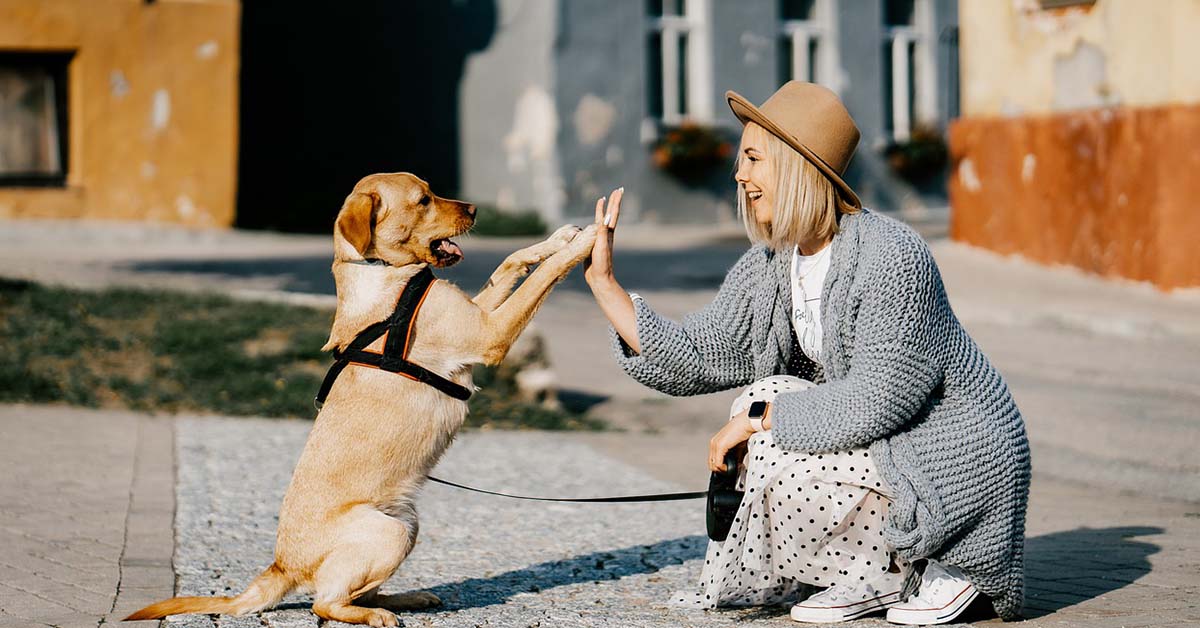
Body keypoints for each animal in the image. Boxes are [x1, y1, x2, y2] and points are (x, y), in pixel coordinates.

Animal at [129, 170, 597, 624]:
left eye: (431, 191)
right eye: (423, 200)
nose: (475, 209)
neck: (382, 271)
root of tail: (281, 566)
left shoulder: (479, 313)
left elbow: (510, 262)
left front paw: (559, 238)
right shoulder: (489, 333)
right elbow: (542, 278)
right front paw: (586, 242)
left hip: (407, 523)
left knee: (356, 591)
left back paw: (406, 598)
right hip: (388, 532)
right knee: (325, 603)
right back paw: (376, 615)